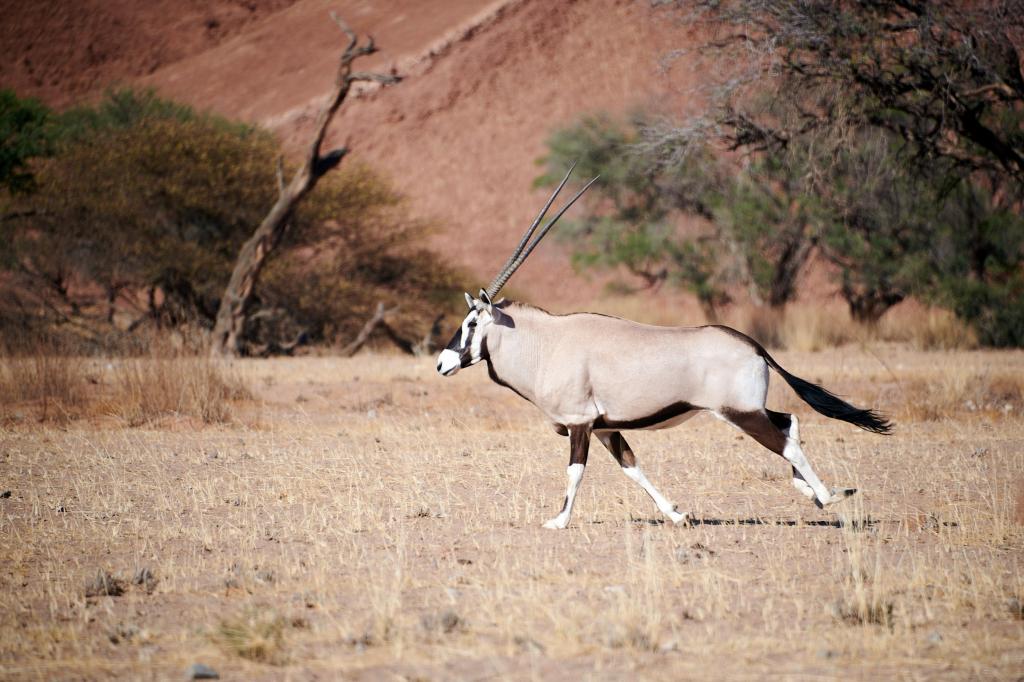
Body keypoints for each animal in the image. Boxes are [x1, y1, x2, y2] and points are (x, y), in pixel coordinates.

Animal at [436, 163, 892, 524]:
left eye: (471, 321)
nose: (442, 364)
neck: (545, 343)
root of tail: (752, 344)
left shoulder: (580, 423)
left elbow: (575, 471)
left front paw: (558, 521)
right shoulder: (605, 427)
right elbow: (633, 468)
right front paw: (676, 514)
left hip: (740, 413)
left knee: (785, 443)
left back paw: (830, 497)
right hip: (748, 410)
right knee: (789, 424)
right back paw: (811, 493)